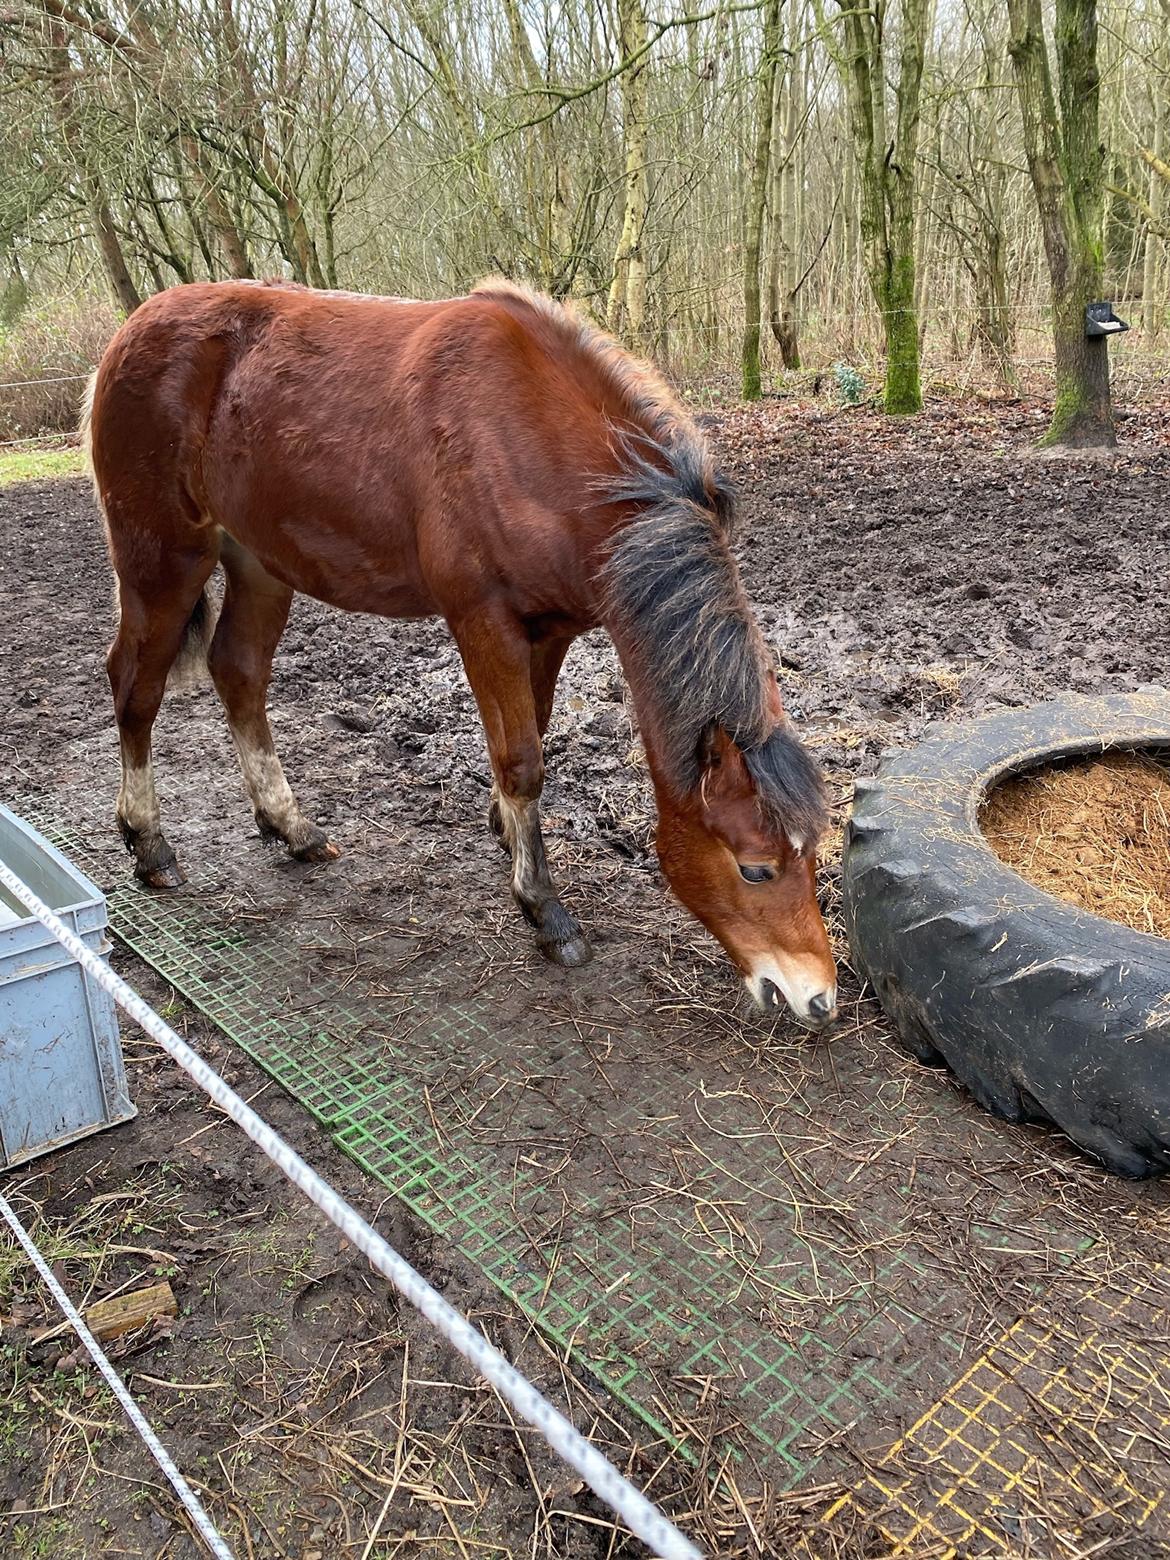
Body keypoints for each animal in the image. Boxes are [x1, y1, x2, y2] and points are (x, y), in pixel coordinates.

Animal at [86, 283, 836, 1023]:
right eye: (756, 867)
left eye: (811, 856)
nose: (818, 998)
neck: (536, 445)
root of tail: (130, 332)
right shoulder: (484, 622)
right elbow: (522, 760)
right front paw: (545, 910)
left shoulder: (551, 628)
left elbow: (534, 734)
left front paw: (506, 834)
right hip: (164, 561)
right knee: (135, 686)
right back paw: (149, 844)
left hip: (259, 563)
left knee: (239, 672)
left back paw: (290, 826)